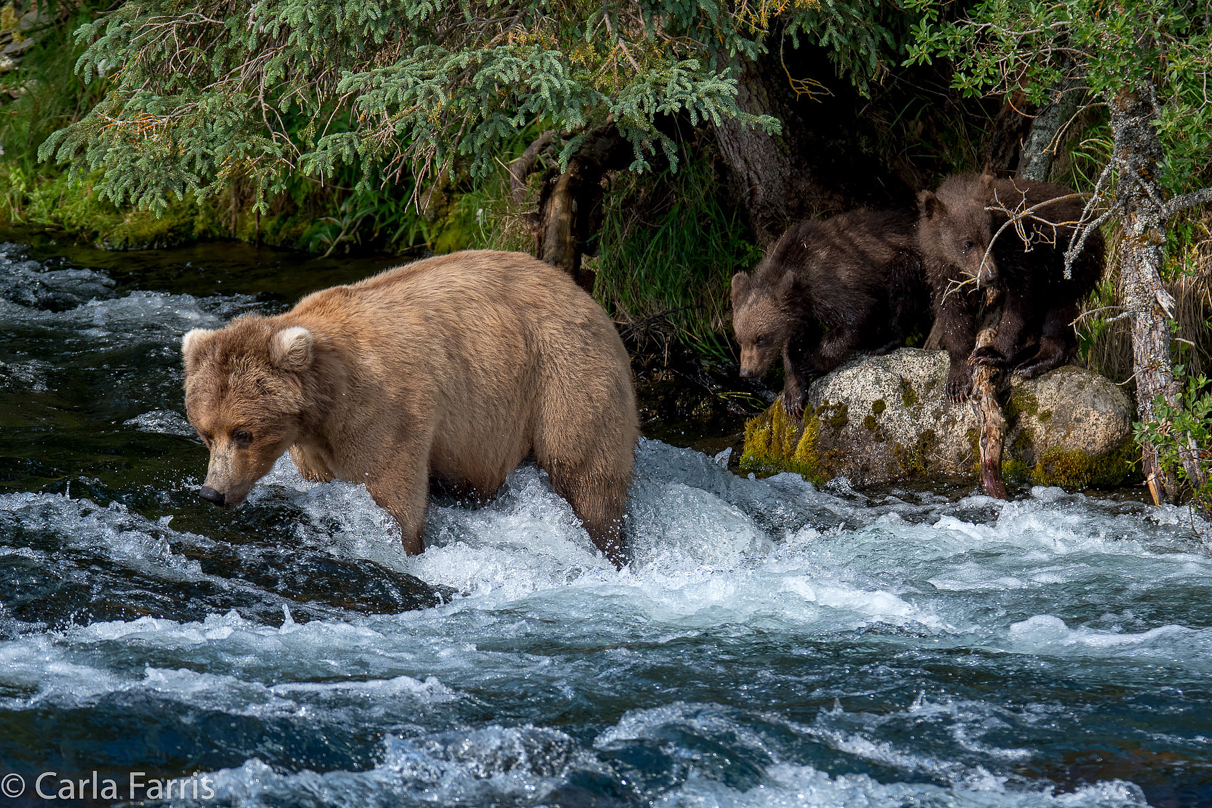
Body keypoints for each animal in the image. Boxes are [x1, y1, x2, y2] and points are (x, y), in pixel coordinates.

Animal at [181, 250, 644, 569]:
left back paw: (609, 546)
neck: (323, 405)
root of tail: (586, 296)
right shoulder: (314, 446)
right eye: (206, 433)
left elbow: (392, 492)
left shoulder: (381, 411)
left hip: (563, 377)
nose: (211, 493)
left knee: (586, 473)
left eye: (243, 433)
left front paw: (407, 549)